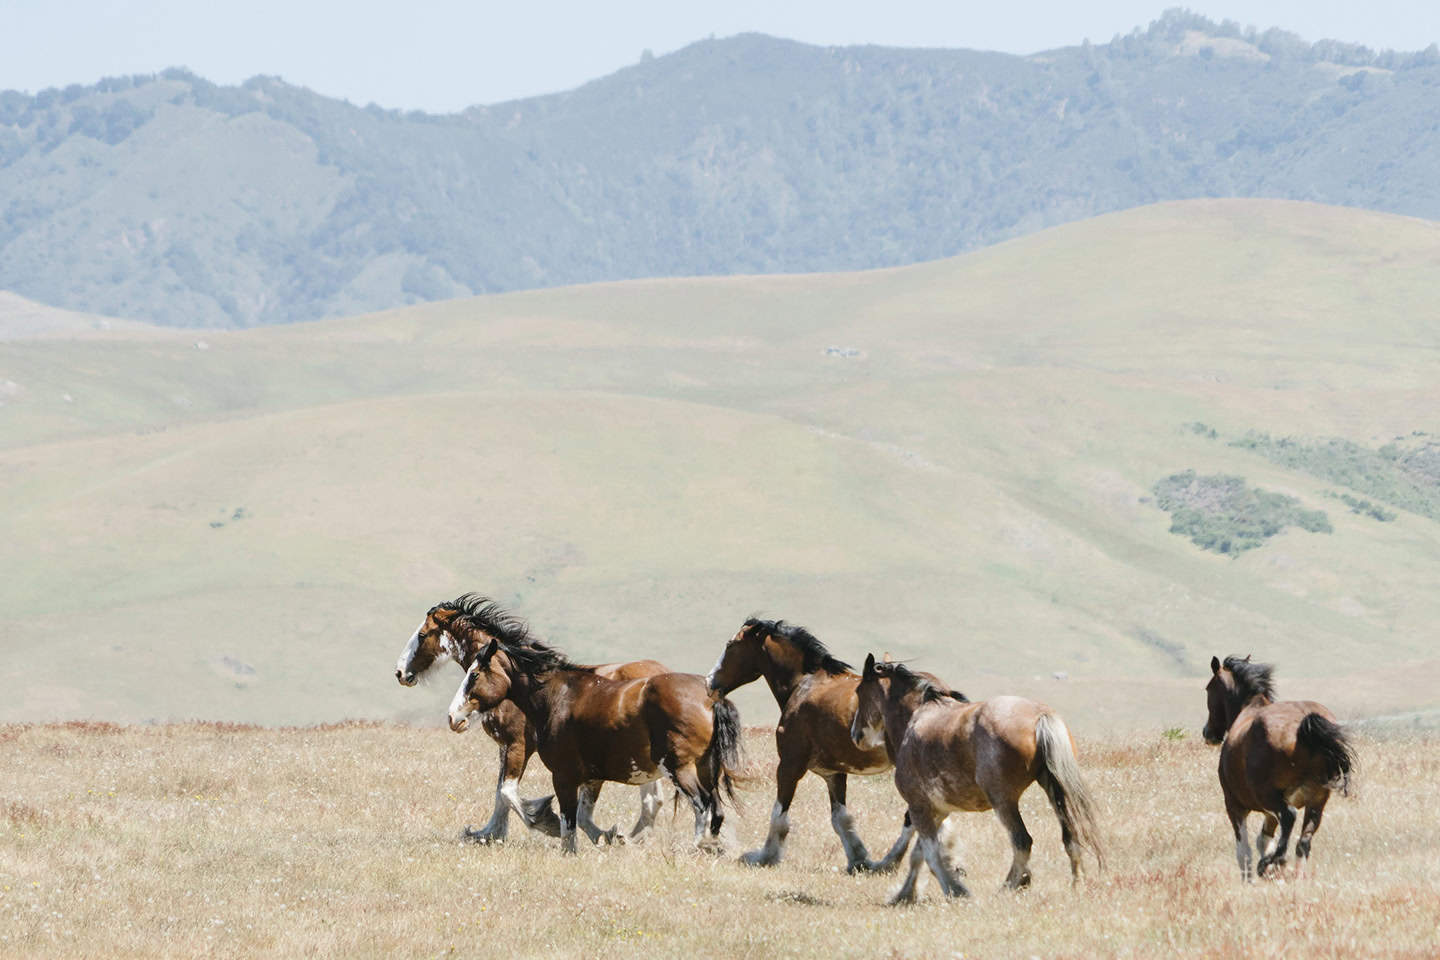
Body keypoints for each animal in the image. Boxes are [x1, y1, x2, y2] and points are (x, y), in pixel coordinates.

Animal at [397, 595, 671, 846]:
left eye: (422, 635)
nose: (400, 673)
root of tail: (663, 673)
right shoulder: (505, 747)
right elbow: (500, 794)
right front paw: (489, 834)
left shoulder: (519, 745)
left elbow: (507, 792)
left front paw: (547, 822)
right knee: (653, 800)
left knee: (651, 800)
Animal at [446, 630, 743, 857]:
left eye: (474, 675)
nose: (453, 716)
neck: (559, 698)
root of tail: (711, 698)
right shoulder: (591, 778)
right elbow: (582, 816)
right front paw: (609, 837)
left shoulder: (563, 776)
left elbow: (568, 822)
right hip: (705, 769)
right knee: (715, 810)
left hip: (680, 770)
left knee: (702, 807)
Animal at [702, 618, 915, 875]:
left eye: (731, 645)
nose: (709, 682)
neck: (805, 684)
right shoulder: (834, 773)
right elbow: (841, 818)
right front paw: (858, 859)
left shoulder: (789, 765)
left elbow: (779, 815)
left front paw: (765, 857)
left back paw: (890, 862)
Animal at [846, 656, 1105, 903]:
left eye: (859, 691)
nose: (855, 735)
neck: (916, 720)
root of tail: (1041, 716)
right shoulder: (936, 810)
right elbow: (918, 854)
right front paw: (905, 895)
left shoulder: (919, 807)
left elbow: (931, 854)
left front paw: (955, 890)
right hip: (1053, 788)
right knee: (1070, 837)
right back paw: (1076, 885)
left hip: (1004, 802)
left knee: (1022, 841)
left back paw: (1007, 888)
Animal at [1198, 656, 1353, 880]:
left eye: (1208, 689)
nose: (1207, 732)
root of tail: (1305, 729)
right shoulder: (1269, 814)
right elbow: (1263, 839)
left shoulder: (1234, 804)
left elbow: (1244, 851)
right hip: (1317, 800)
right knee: (1304, 842)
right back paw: (1294, 874)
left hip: (1269, 796)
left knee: (1289, 816)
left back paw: (1271, 862)